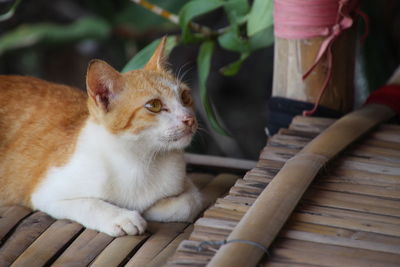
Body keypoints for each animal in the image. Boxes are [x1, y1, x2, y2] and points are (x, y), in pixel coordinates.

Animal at [0, 37, 203, 237]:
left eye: (185, 96)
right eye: (154, 105)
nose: (189, 119)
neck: (140, 161)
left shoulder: (185, 182)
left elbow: (191, 202)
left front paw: (151, 208)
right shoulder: (44, 193)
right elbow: (88, 203)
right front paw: (122, 216)